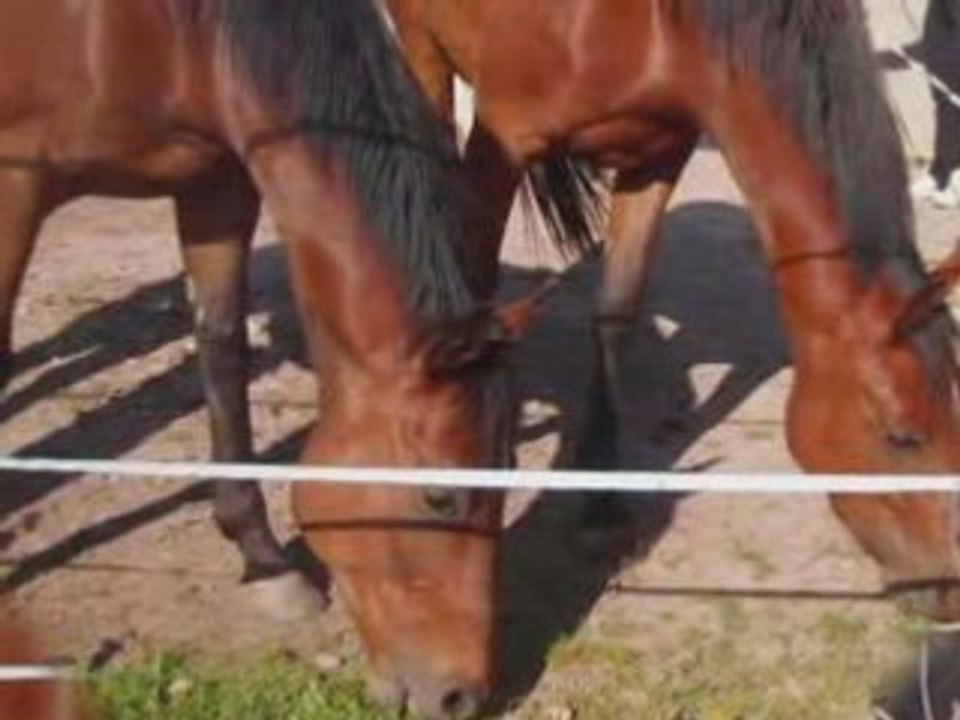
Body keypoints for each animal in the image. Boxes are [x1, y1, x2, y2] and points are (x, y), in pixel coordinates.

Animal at [385, 0, 960, 618]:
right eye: (902, 437)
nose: (951, 588)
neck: (647, 25)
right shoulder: (505, 139)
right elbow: (474, 279)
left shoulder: (656, 156)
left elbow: (617, 312)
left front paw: (601, 507)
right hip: (420, 47)